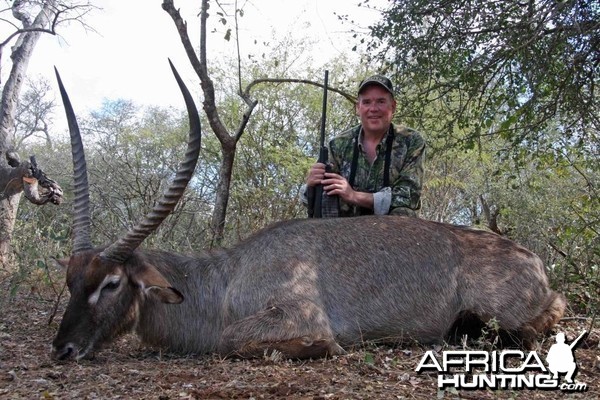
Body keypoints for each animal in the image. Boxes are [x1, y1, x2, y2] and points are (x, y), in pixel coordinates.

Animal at [51, 64, 568, 360]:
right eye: (71, 281)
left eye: (111, 283)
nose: (62, 349)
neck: (225, 277)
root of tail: (533, 259)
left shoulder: (296, 314)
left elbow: (231, 340)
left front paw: (319, 348)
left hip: (507, 314)